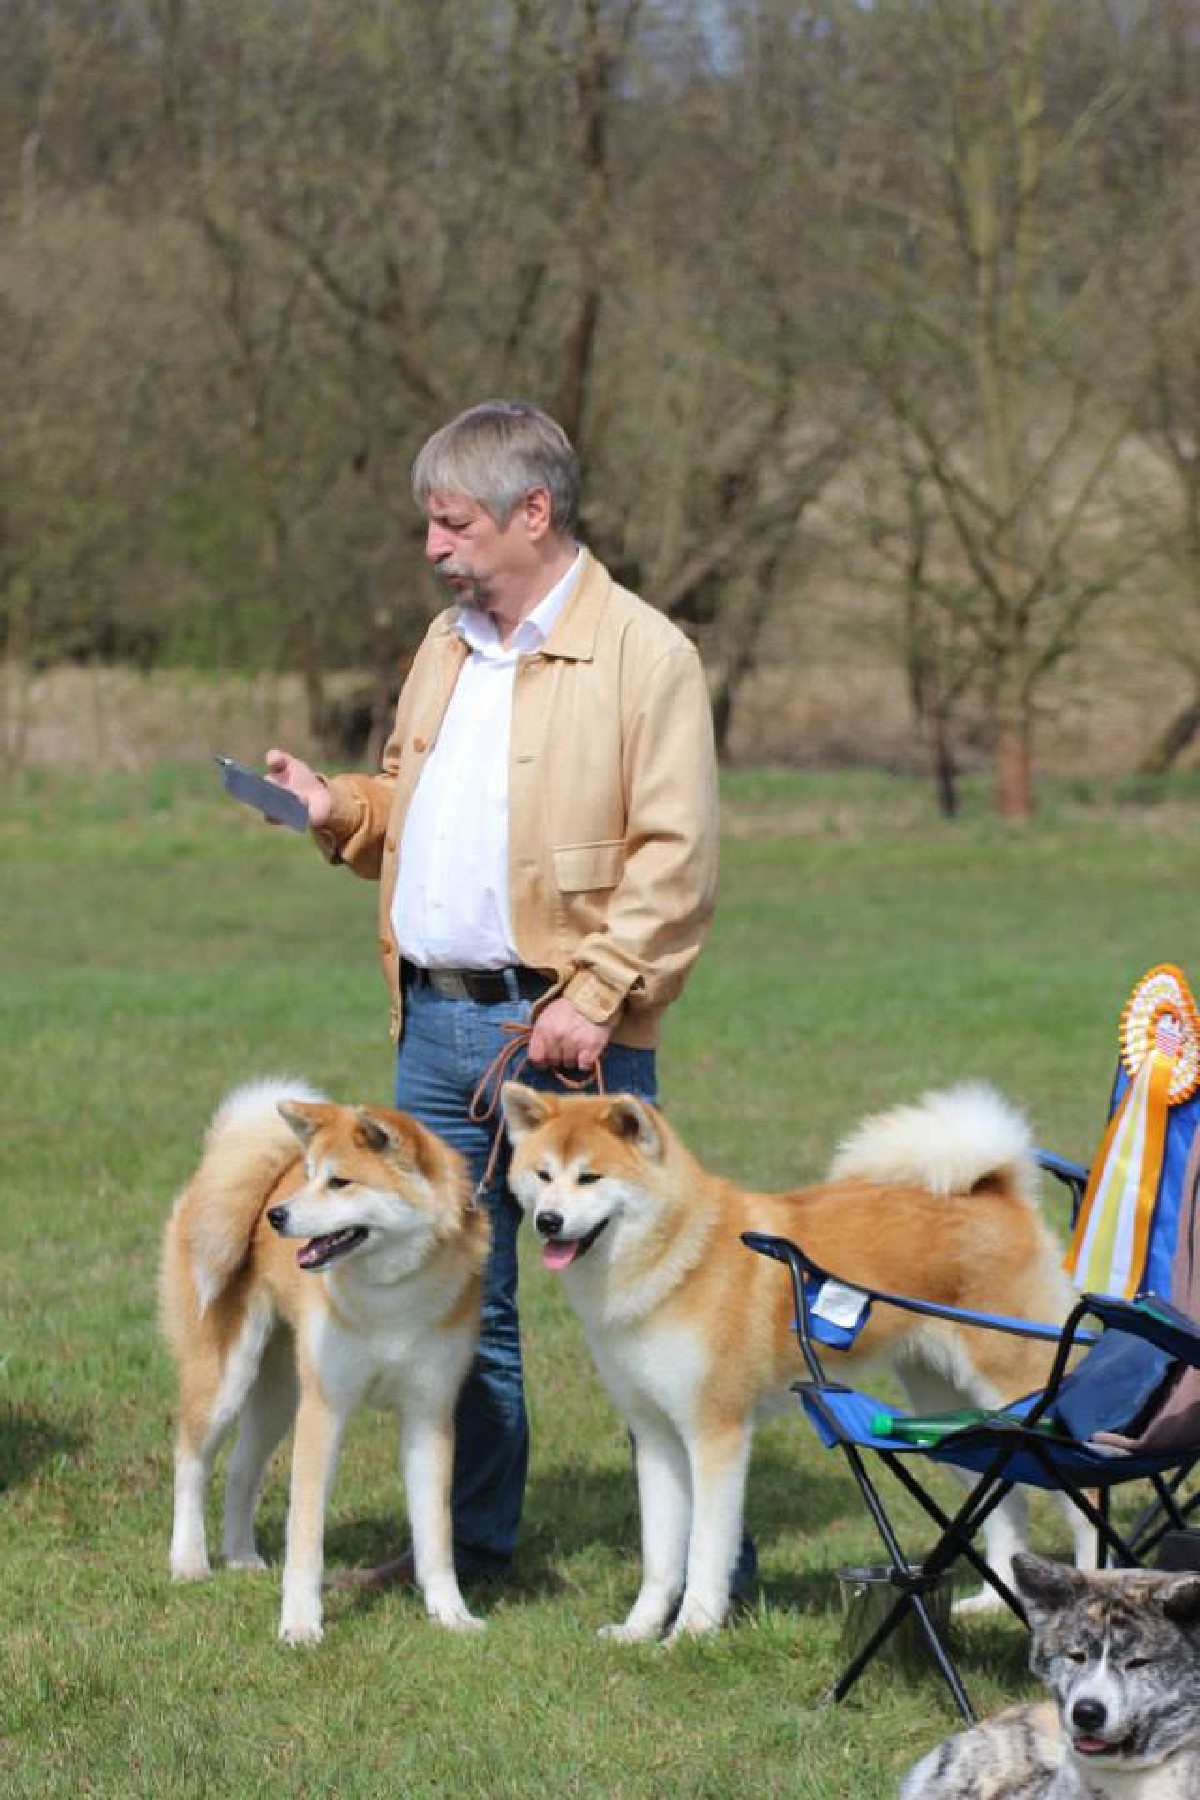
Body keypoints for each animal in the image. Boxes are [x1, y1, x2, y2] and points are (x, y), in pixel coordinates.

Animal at [160, 1078, 489, 1643]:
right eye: (312, 1176)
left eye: (340, 1182)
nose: (276, 1215)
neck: (387, 1296)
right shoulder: (325, 1410)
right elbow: (305, 1533)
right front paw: (299, 1624)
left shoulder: (428, 1415)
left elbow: (436, 1535)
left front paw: (450, 1613)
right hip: (226, 1380)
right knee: (192, 1464)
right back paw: (188, 1561)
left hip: (278, 1393)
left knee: (243, 1468)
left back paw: (241, 1557)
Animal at [500, 1079, 1088, 1641]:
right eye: (542, 1174)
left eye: (590, 1178)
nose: (548, 1221)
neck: (678, 1261)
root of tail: (995, 1190)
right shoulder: (655, 1436)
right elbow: (661, 1558)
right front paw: (638, 1630)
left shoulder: (716, 1433)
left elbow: (705, 1550)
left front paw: (690, 1632)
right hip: (949, 1416)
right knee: (1007, 1504)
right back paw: (991, 1603)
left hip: (1023, 1396)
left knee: (1083, 1499)